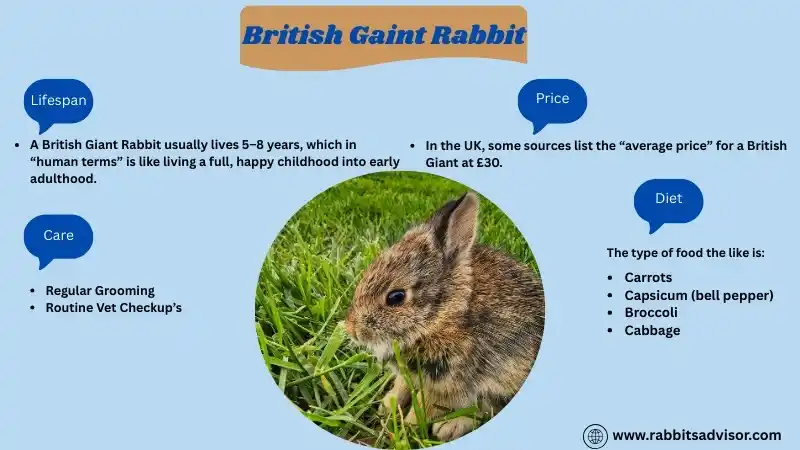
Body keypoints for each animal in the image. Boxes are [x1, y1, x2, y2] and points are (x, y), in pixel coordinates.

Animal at [344, 191, 545, 442]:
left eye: (396, 297)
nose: (351, 329)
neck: (444, 316)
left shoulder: (445, 384)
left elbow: (423, 408)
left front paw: (406, 430)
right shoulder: (410, 376)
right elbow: (401, 388)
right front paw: (387, 407)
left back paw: (449, 427)